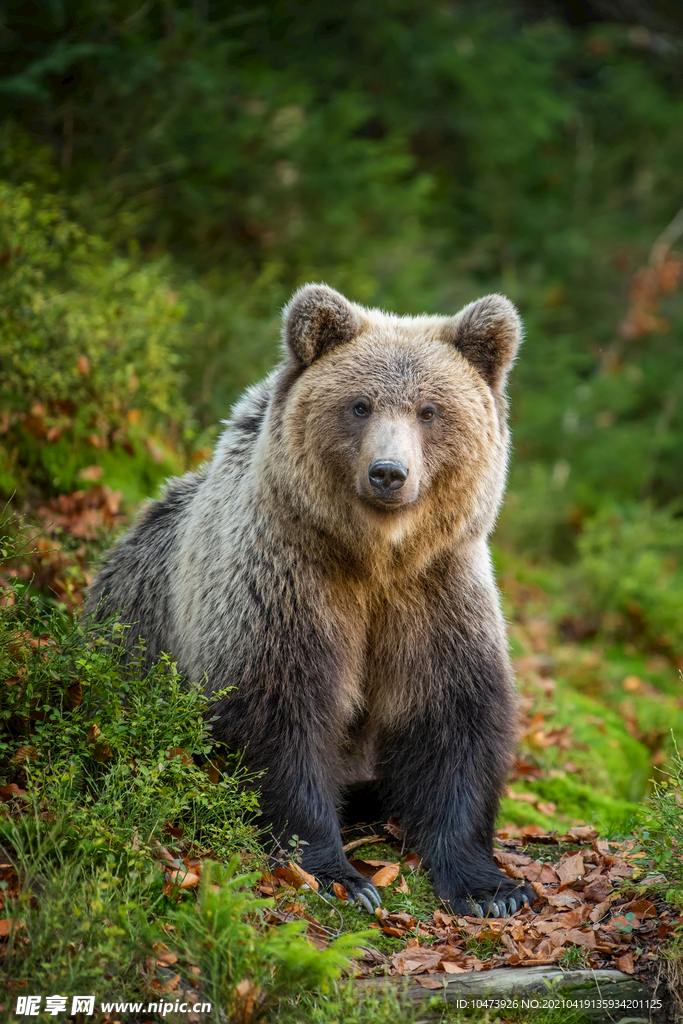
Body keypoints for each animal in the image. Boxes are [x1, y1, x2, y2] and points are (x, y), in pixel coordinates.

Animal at [89, 284, 532, 917]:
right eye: (360, 405)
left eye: (429, 411)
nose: (389, 473)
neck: (374, 557)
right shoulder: (288, 579)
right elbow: (282, 710)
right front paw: (339, 875)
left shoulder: (434, 590)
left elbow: (454, 716)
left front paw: (491, 890)